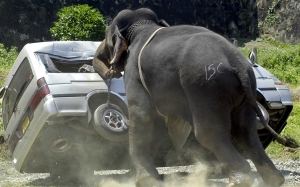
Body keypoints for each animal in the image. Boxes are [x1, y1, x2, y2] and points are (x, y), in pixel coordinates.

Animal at [92, 7, 288, 187]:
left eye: (107, 37)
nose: (109, 71)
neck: (143, 25)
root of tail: (237, 64)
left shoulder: (134, 72)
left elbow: (143, 115)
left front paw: (146, 181)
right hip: (245, 93)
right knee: (245, 130)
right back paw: (274, 180)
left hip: (205, 88)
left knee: (209, 133)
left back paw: (240, 181)